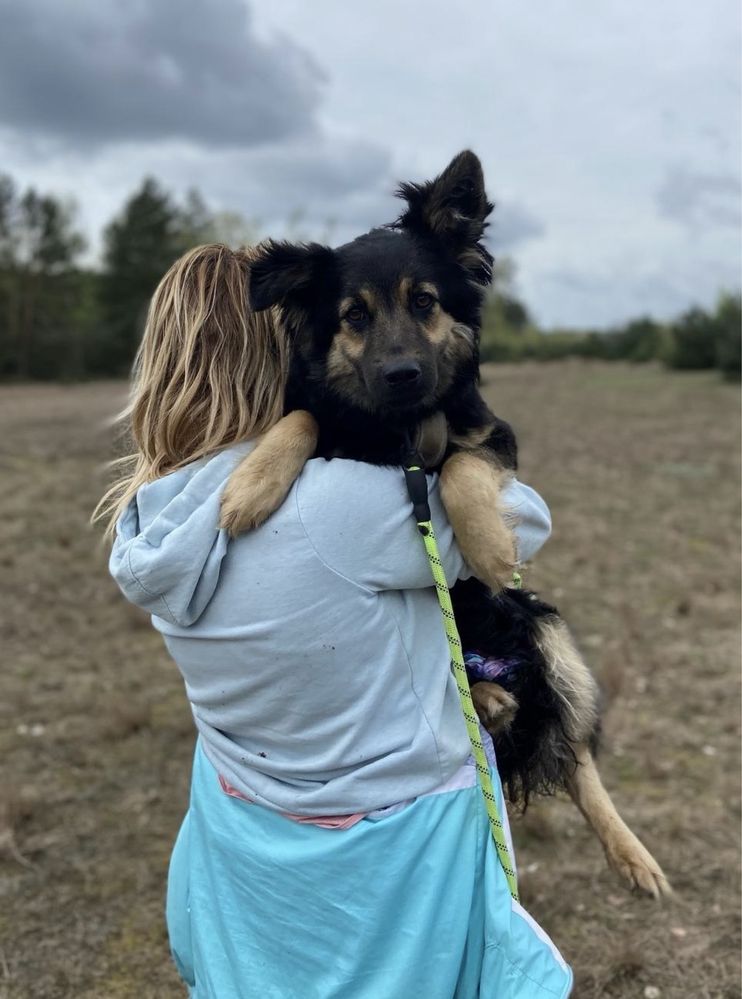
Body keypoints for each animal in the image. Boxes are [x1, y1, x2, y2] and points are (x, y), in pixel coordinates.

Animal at [219, 152, 668, 904]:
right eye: (354, 315)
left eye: (425, 301)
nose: (402, 374)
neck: (400, 429)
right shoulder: (330, 421)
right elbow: (303, 416)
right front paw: (251, 485)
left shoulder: (494, 440)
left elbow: (460, 465)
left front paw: (486, 543)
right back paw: (488, 696)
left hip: (545, 631)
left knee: (575, 752)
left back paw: (632, 854)